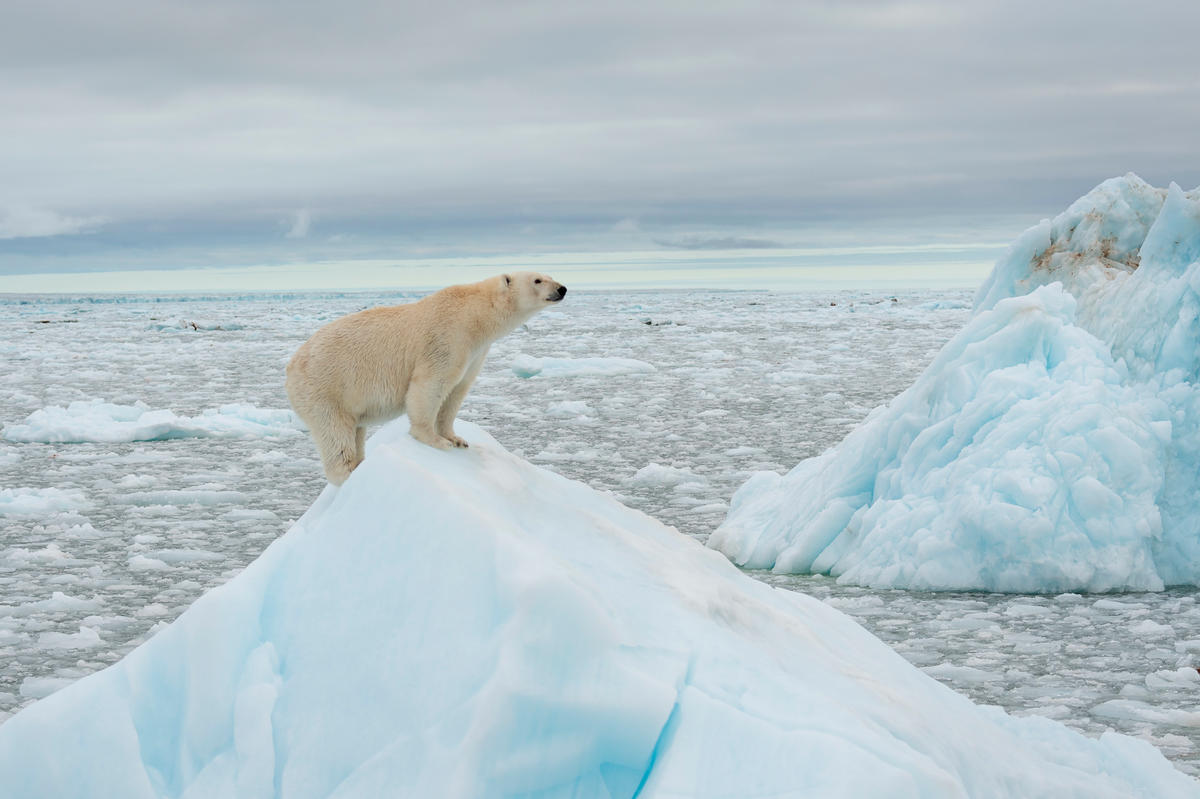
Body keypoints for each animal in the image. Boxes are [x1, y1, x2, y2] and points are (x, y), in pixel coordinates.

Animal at [285, 271, 566, 482]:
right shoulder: (446, 338)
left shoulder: (475, 352)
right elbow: (431, 384)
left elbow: (457, 391)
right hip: (325, 389)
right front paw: (436, 441)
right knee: (335, 434)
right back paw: (348, 473)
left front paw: (457, 439)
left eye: (550, 275)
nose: (562, 288)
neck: (475, 315)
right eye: (537, 280)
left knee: (356, 431)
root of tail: (290, 368)